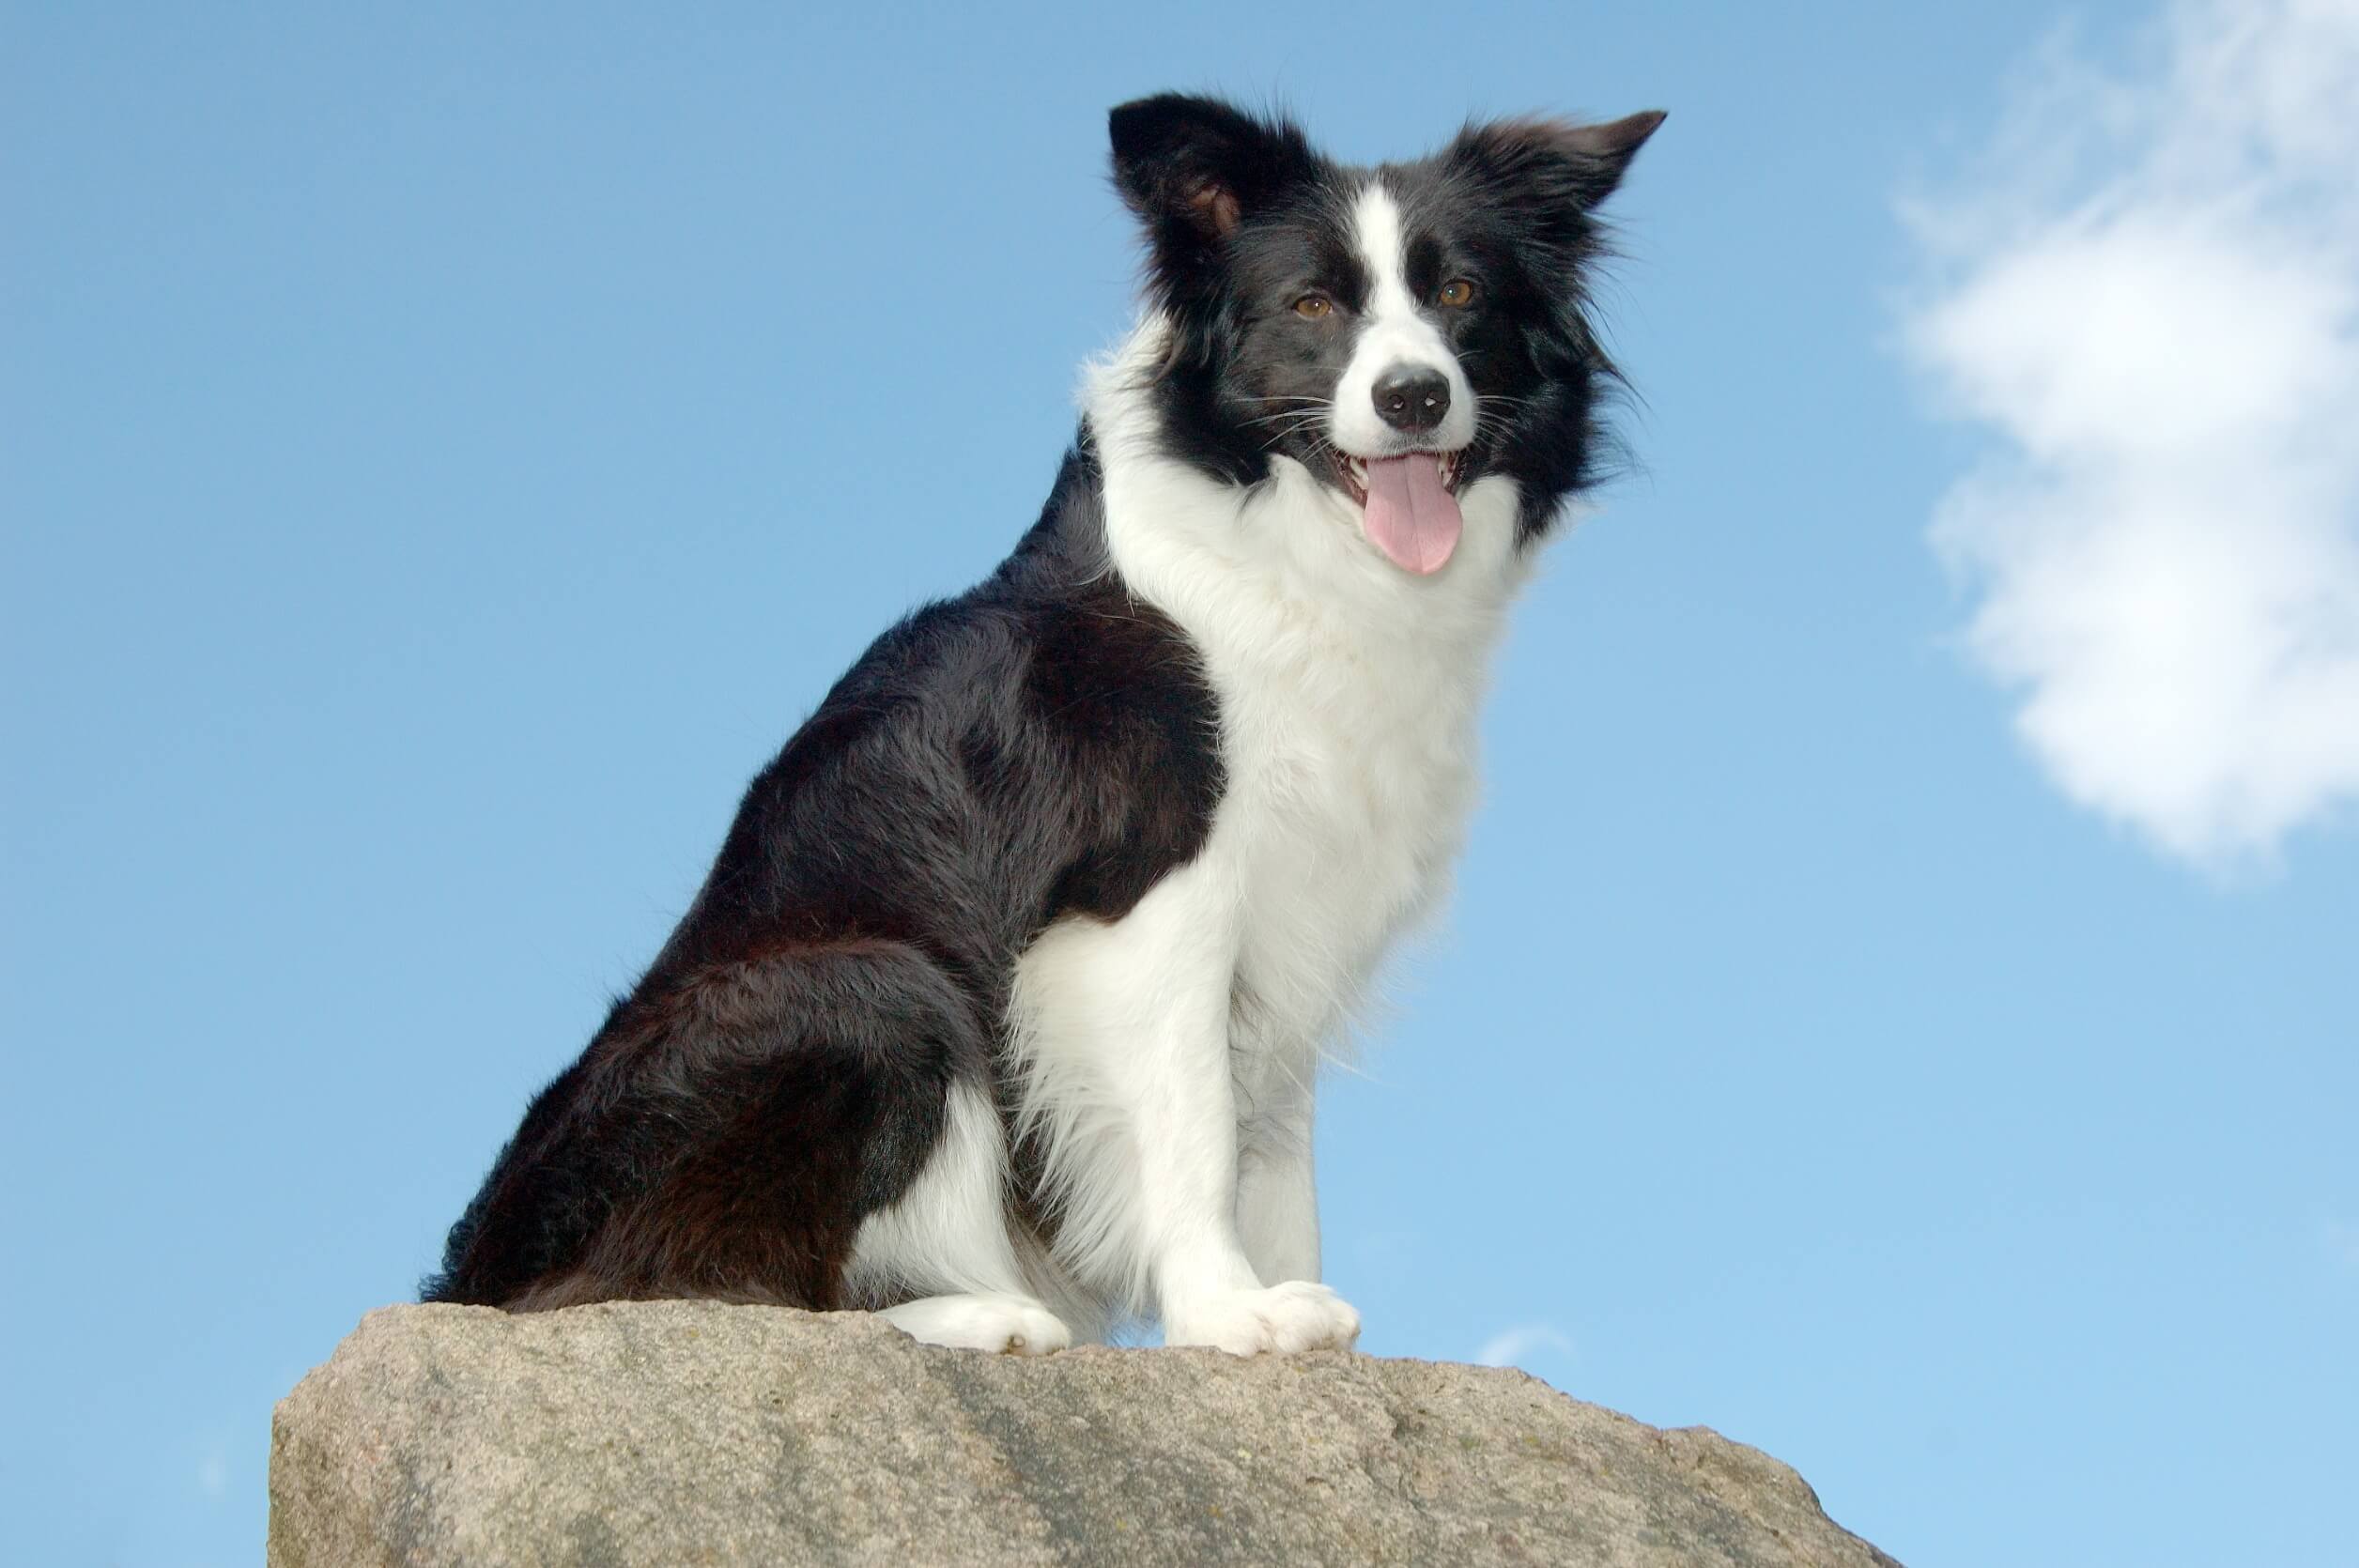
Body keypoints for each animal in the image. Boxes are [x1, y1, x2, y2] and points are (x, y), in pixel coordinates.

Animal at [424, 91, 1660, 1348]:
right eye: (1312, 304)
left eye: (1457, 292)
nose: (1412, 396)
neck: (1280, 539)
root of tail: (474, 1279)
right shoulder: (1148, 898)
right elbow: (1198, 1129)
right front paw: (1226, 1312)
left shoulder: (1288, 927)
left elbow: (1277, 1163)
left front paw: (1290, 1312)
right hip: (868, 985)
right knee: (682, 1289)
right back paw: (980, 1315)